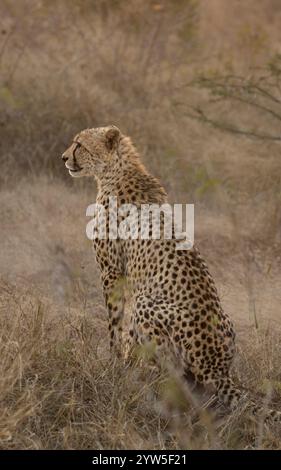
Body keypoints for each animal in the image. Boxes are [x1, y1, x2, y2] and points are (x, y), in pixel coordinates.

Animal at [62, 125, 280, 422]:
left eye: (79, 144)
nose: (63, 158)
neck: (116, 170)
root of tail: (217, 368)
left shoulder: (112, 272)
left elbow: (114, 325)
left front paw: (114, 364)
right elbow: (127, 332)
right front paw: (124, 362)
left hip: (148, 305)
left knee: (175, 375)